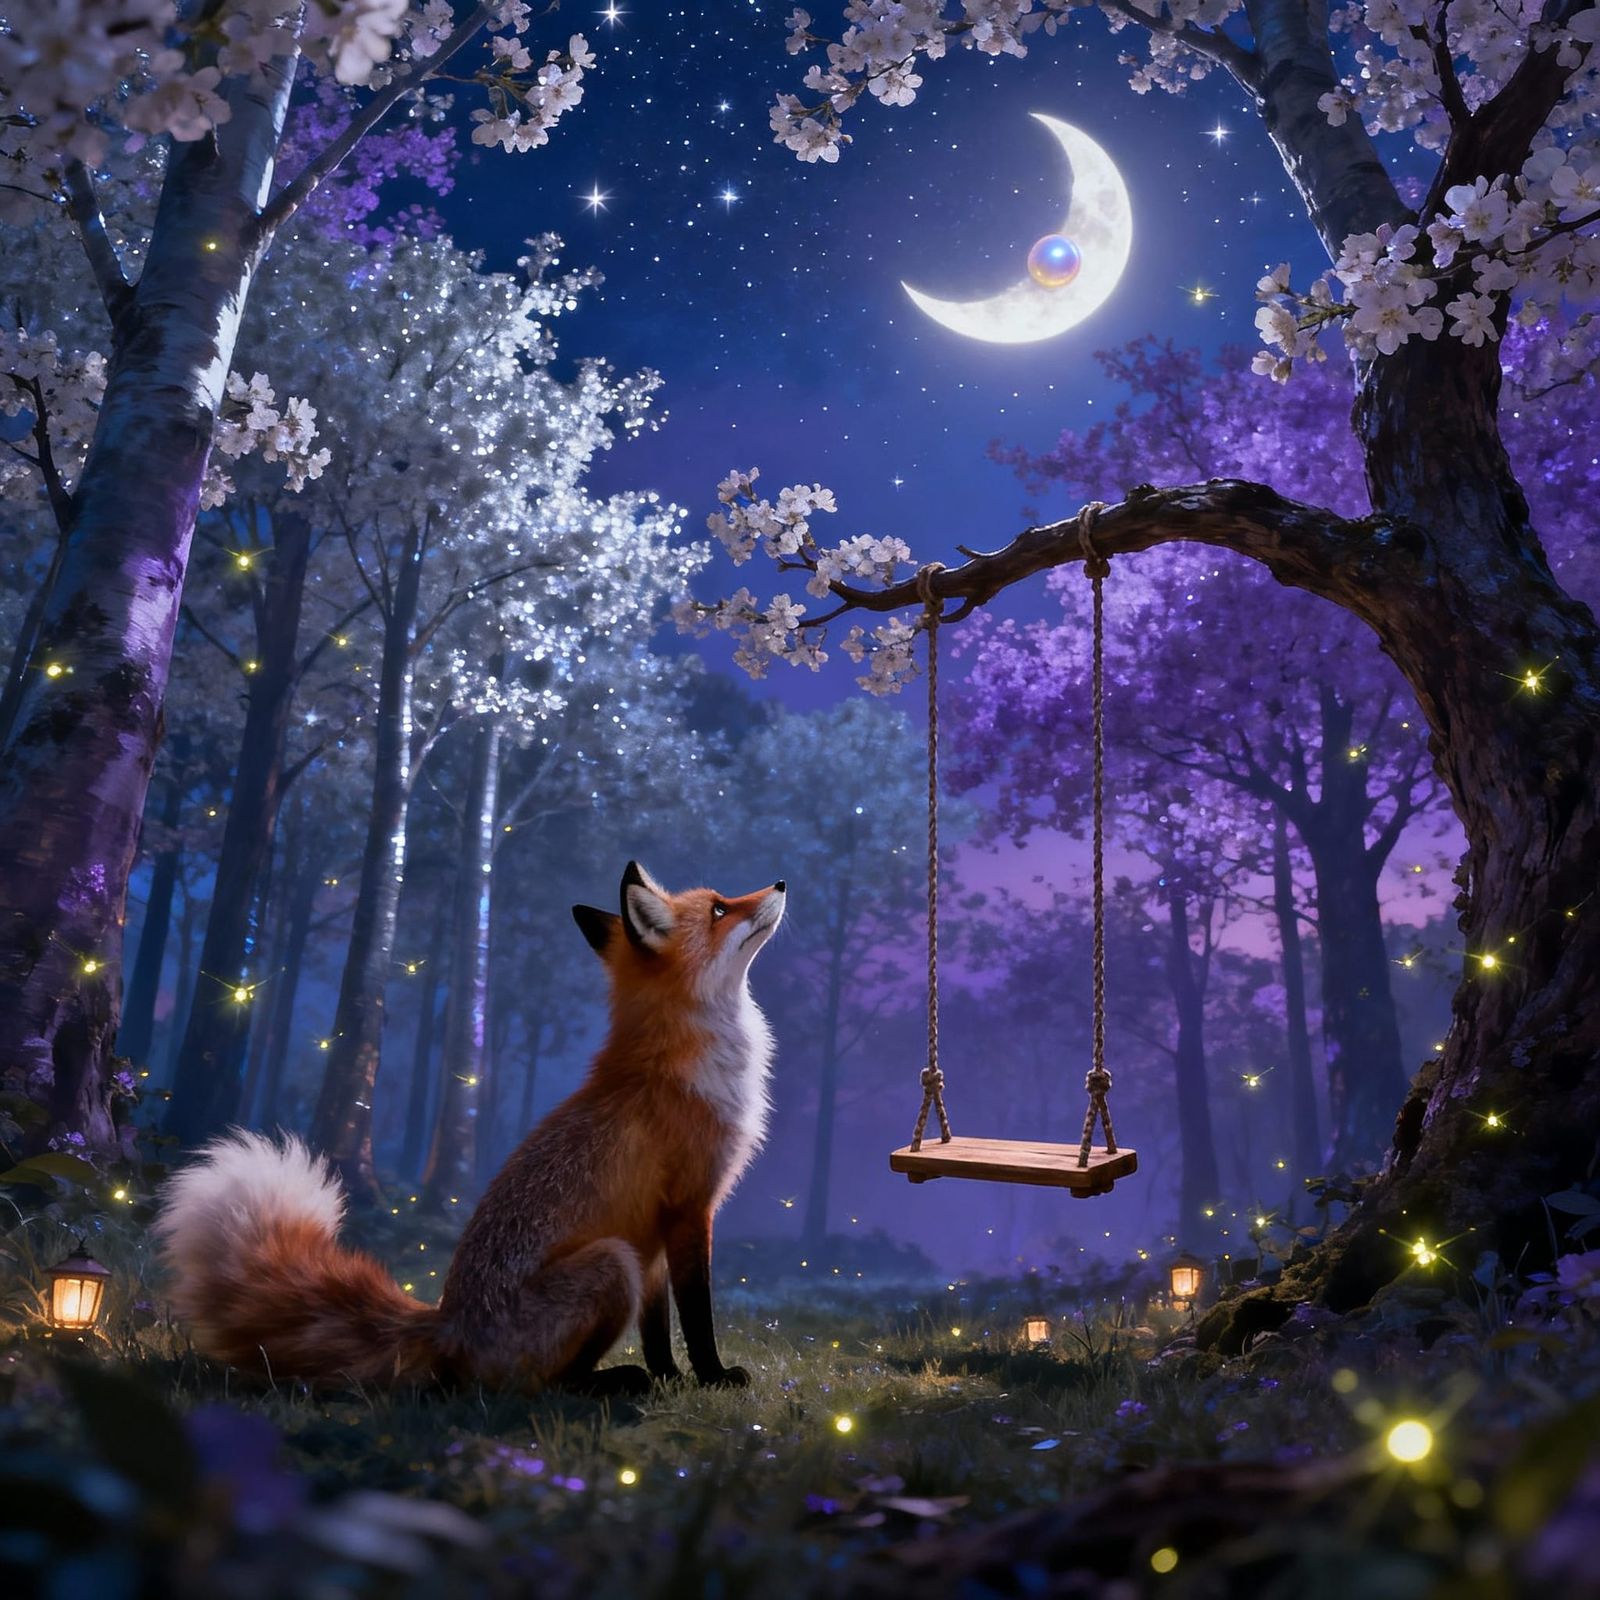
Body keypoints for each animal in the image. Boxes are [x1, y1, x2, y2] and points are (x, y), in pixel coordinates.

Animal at [154, 862, 785, 1396]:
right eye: (720, 909)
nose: (779, 884)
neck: (681, 1060)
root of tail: (447, 1325)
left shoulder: (653, 1229)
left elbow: (659, 1330)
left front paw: (672, 1378)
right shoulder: (689, 1207)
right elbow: (698, 1314)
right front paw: (712, 1376)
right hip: (611, 1264)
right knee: (532, 1385)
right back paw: (609, 1382)